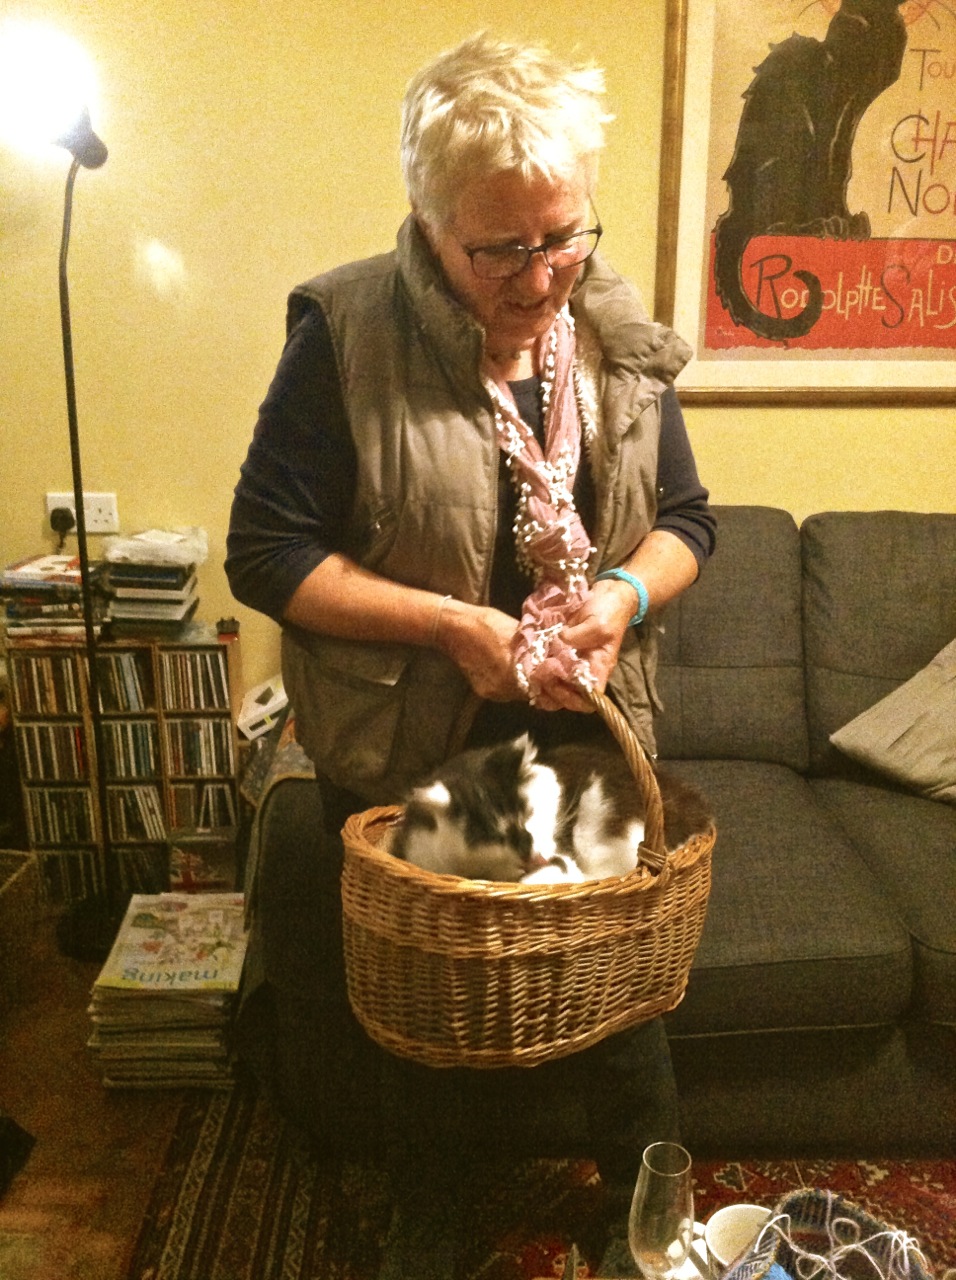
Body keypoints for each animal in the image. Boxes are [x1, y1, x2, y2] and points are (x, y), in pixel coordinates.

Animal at [713, 0, 908, 341]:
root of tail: (735, 211)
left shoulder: (851, 115)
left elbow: (840, 168)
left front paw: (849, 223)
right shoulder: (828, 113)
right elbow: (826, 169)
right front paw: (834, 223)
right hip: (790, 152)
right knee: (767, 224)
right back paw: (814, 226)